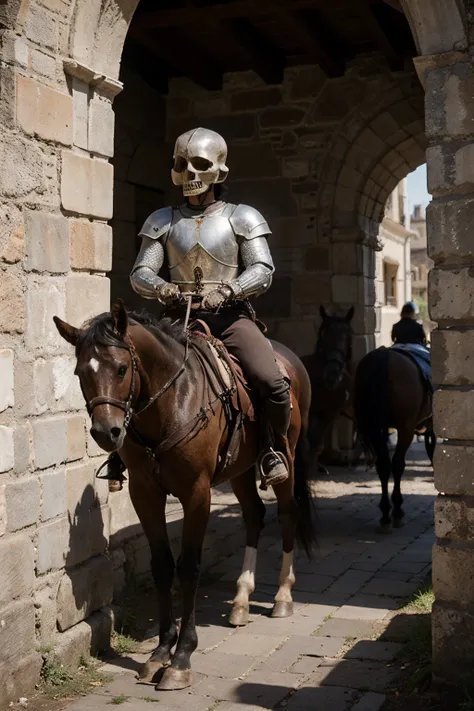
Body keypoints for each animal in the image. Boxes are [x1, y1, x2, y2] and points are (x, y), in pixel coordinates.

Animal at [53, 304, 316, 692]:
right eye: (80, 372)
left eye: (122, 368)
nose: (106, 432)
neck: (171, 401)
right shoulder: (145, 493)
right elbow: (162, 565)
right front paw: (160, 651)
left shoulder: (197, 492)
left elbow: (189, 567)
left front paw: (181, 658)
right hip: (239, 469)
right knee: (254, 516)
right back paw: (241, 600)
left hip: (288, 456)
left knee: (287, 514)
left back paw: (283, 595)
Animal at [302, 304, 354, 472]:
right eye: (323, 335)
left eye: (348, 335)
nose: (332, 376)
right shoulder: (312, 411)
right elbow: (313, 441)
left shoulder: (332, 411)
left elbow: (318, 443)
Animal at [356, 344, 434, 536]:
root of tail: (384, 358)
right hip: (405, 428)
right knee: (398, 464)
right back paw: (397, 511)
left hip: (374, 428)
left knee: (383, 465)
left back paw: (385, 514)